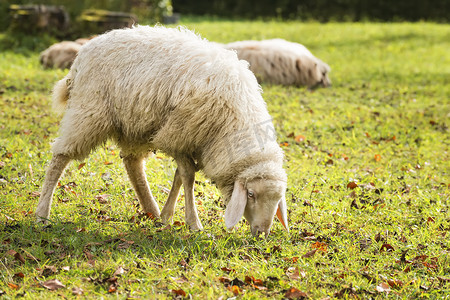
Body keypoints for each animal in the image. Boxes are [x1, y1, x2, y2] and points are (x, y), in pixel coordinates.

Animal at [35, 25, 288, 237]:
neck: (235, 119)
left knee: (132, 163)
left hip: (134, 123)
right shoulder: (179, 133)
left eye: (277, 199)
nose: (262, 233)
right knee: (60, 157)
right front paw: (193, 223)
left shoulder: (185, 138)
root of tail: (83, 52)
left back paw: (152, 211)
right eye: (251, 195)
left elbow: (179, 175)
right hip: (89, 111)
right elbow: (187, 176)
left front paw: (166, 217)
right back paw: (42, 213)